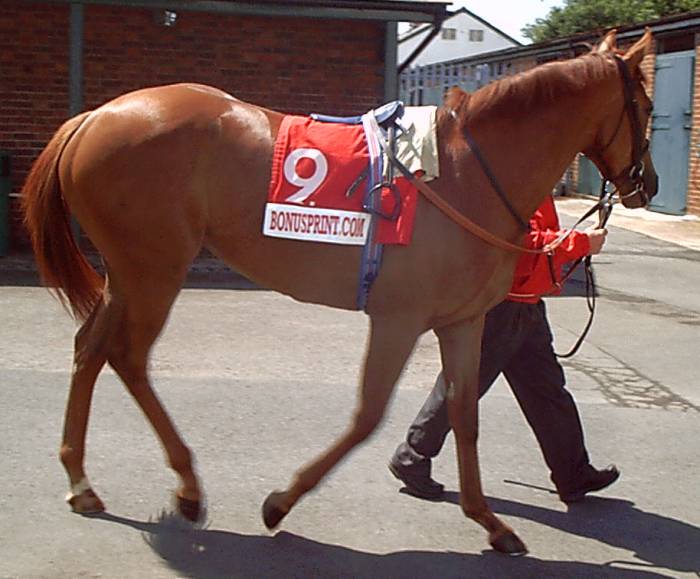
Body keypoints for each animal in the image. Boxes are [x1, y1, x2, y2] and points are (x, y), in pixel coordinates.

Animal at [21, 29, 657, 556]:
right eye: (647, 106)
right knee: (126, 357)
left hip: (128, 275)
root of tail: (94, 118)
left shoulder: (463, 321)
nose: (646, 185)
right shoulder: (398, 319)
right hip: (153, 271)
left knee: (90, 349)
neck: (465, 173)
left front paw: (490, 523)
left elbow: (463, 414)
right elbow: (368, 415)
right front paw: (280, 503)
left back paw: (82, 482)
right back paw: (187, 488)